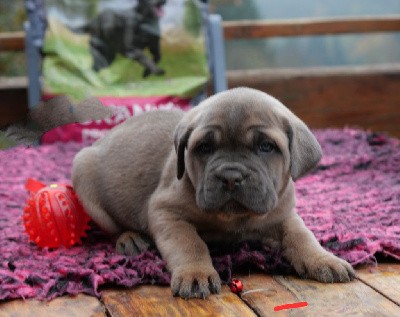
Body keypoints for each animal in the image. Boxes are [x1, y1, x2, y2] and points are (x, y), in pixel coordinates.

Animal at [72, 87, 354, 298]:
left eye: (266, 146)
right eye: (204, 147)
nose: (231, 177)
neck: (234, 220)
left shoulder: (284, 214)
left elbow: (302, 235)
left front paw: (323, 259)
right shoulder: (166, 212)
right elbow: (190, 243)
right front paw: (195, 274)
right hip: (83, 174)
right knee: (112, 227)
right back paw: (129, 238)